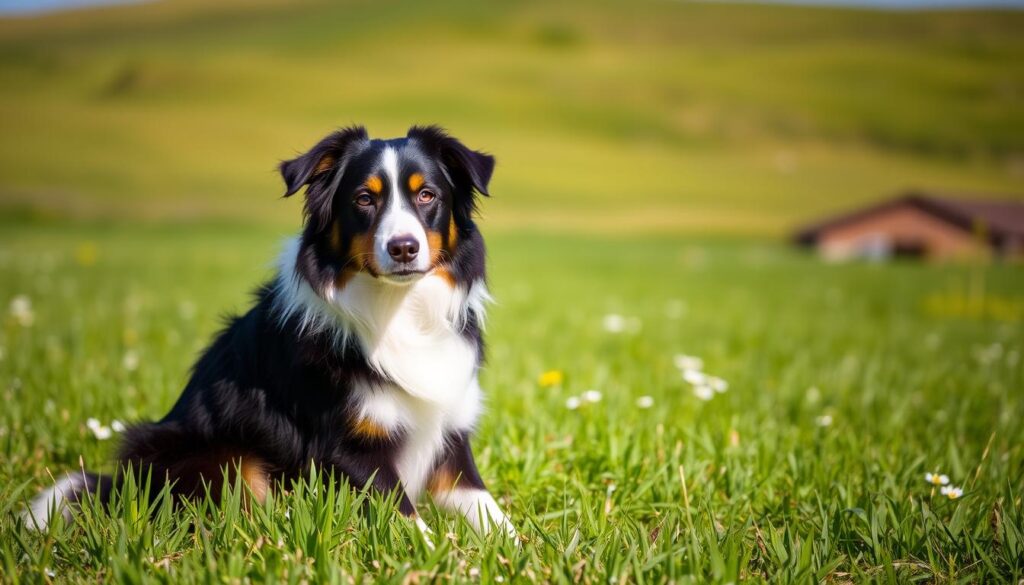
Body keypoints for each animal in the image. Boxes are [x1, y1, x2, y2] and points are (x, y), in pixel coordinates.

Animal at [24, 126, 516, 540]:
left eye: (427, 195)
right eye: (364, 199)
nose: (403, 248)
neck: (400, 309)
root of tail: (117, 486)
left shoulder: (450, 435)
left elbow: (490, 511)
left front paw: (516, 553)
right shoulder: (350, 451)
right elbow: (411, 523)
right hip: (217, 456)